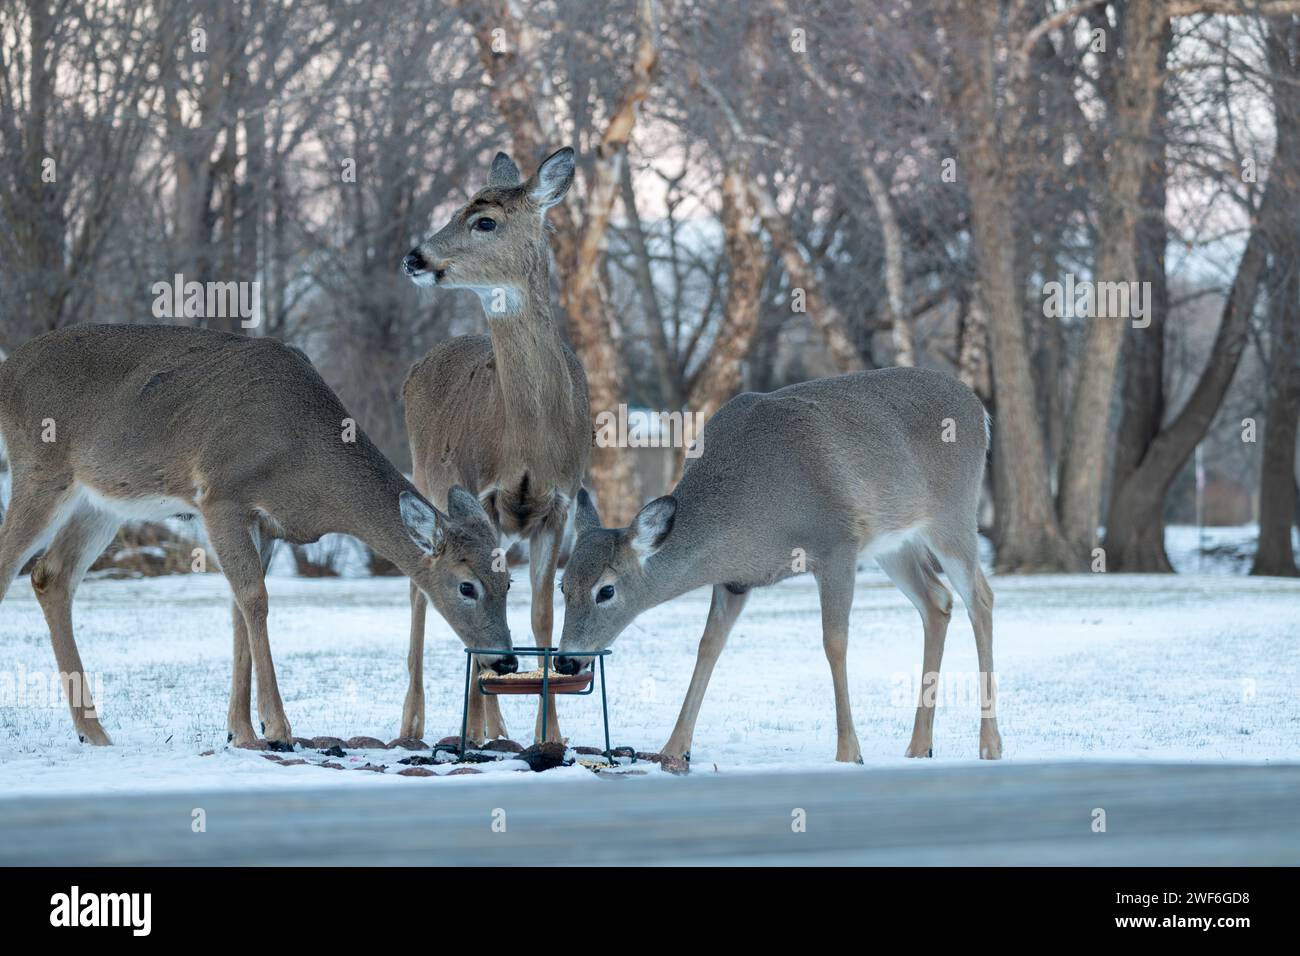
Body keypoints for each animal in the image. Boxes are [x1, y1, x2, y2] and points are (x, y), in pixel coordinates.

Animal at [0, 325, 514, 749]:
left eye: (508, 582)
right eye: (466, 586)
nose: (506, 661)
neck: (305, 460)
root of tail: (8, 369)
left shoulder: (264, 524)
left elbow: (239, 609)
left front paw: (241, 730)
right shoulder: (221, 496)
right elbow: (255, 599)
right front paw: (278, 727)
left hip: (101, 501)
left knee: (51, 576)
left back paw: (93, 731)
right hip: (40, 469)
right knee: (10, 566)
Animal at [395, 147, 590, 749]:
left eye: (484, 220)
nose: (413, 256)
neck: (527, 437)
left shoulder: (560, 503)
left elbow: (542, 616)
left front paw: (549, 735)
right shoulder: (481, 494)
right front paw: (480, 728)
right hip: (426, 479)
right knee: (418, 592)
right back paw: (417, 724)